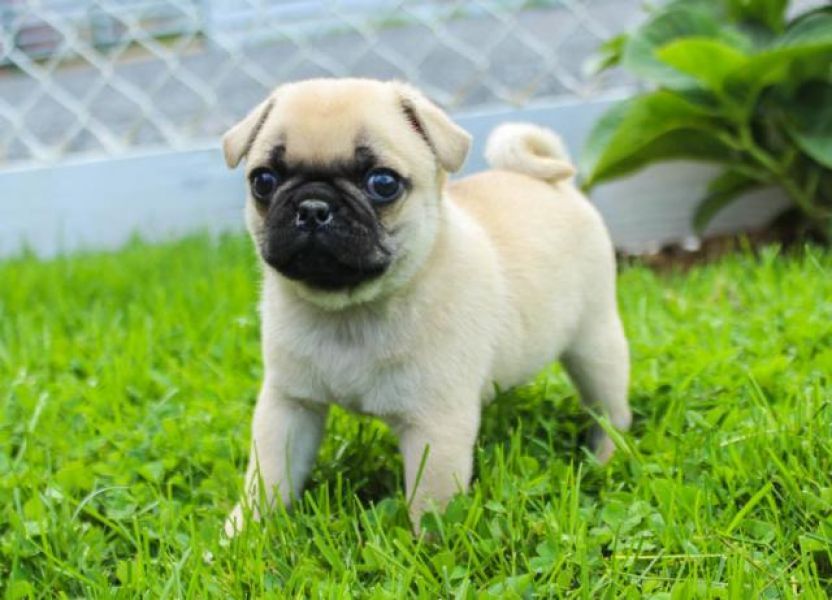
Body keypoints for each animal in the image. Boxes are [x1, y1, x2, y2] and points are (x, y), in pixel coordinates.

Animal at [221, 78, 631, 536]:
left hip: (595, 343)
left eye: (383, 183)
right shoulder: (289, 405)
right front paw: (242, 532)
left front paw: (432, 547)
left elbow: (431, 502)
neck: (349, 312)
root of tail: (556, 185)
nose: (312, 207)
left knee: (611, 410)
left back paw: (605, 458)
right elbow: (268, 474)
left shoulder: (436, 425)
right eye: (263, 181)